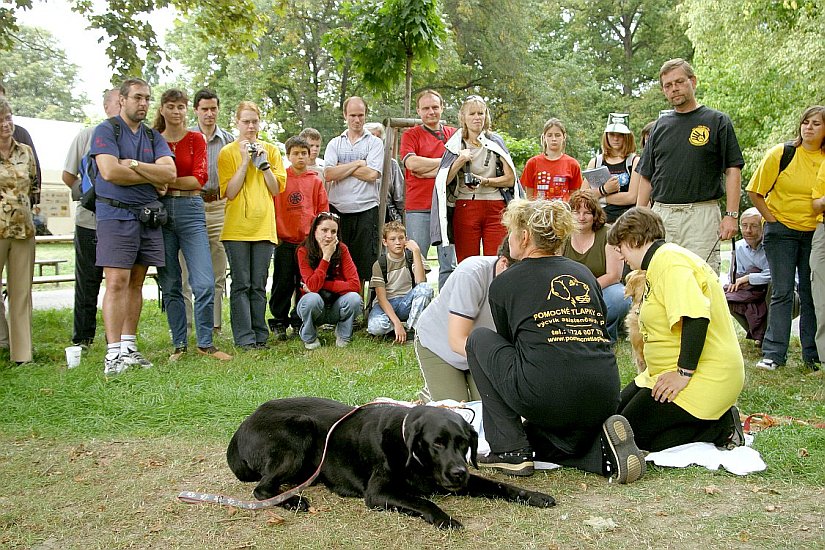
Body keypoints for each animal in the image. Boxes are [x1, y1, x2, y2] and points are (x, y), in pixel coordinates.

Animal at [225, 396, 552, 532]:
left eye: (463, 443)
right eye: (437, 443)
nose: (459, 473)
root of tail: (240, 429)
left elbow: (502, 485)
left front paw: (536, 496)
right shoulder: (379, 493)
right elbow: (424, 502)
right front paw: (445, 519)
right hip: (300, 430)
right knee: (262, 490)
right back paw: (294, 501)